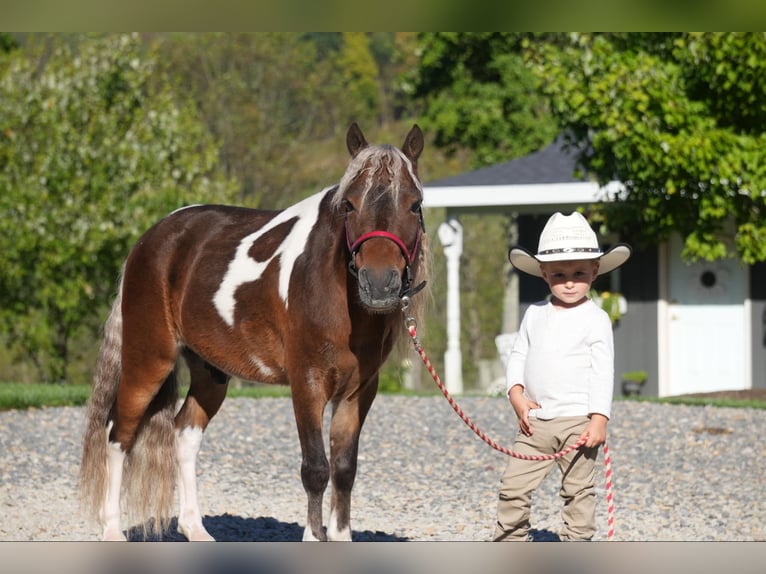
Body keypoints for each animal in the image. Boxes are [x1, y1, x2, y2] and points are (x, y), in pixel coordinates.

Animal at [82, 124, 432, 544]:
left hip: (211, 372)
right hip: (148, 359)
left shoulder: (359, 391)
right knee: (118, 433)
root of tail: (151, 239)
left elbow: (345, 469)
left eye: (414, 204)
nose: (379, 285)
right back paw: (112, 529)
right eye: (349, 204)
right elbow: (316, 468)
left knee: (184, 434)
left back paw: (195, 529)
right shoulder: (307, 383)